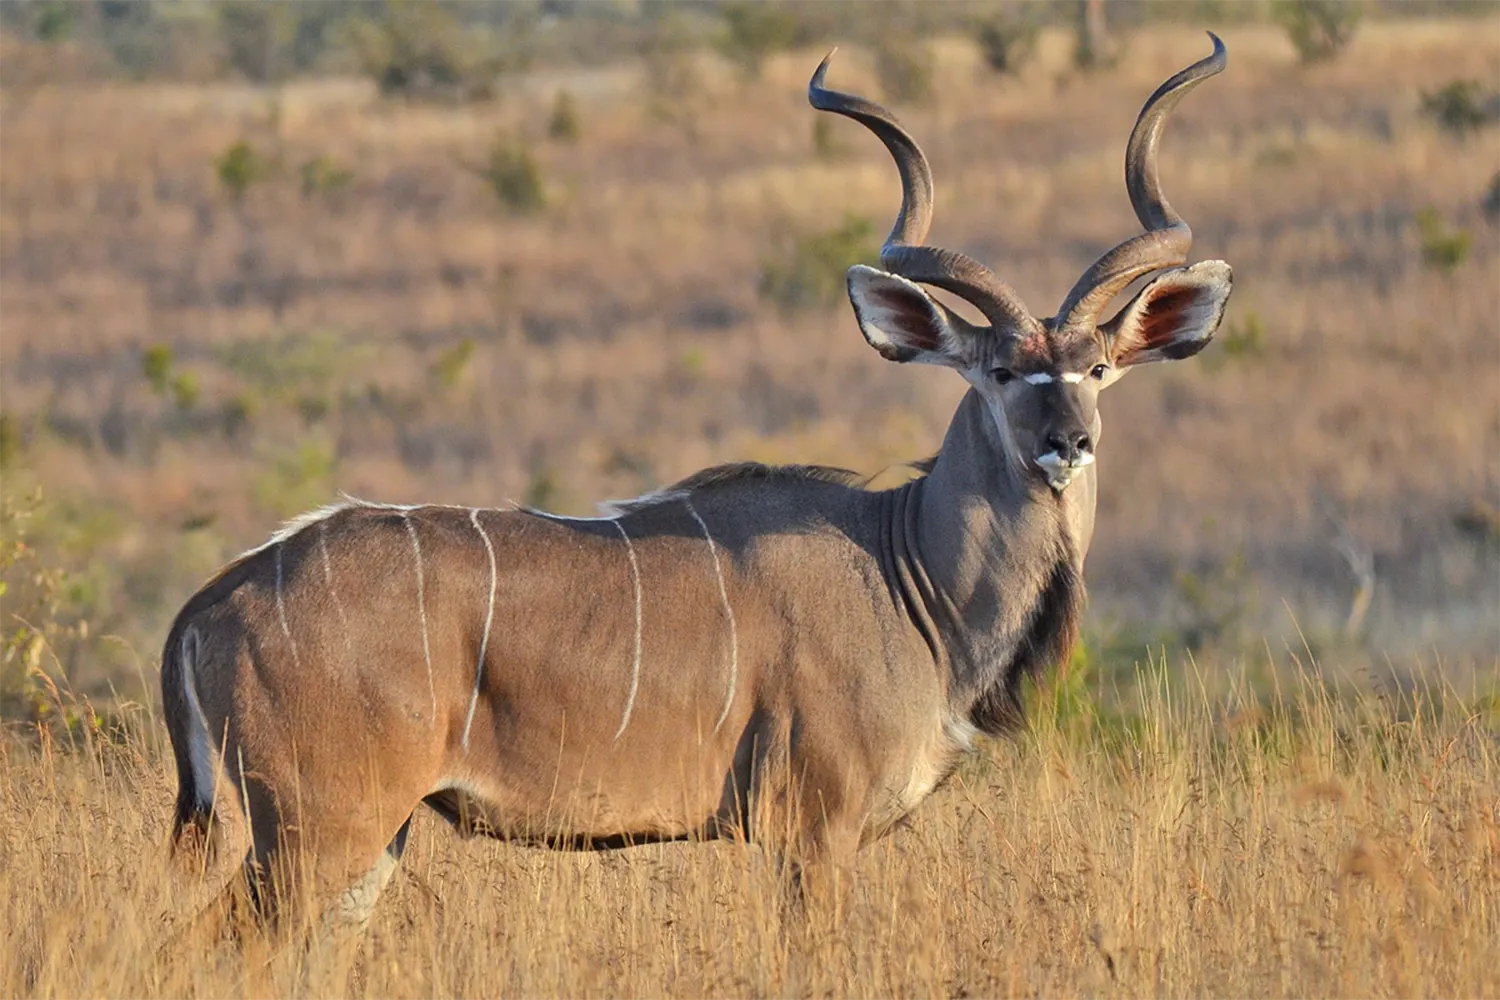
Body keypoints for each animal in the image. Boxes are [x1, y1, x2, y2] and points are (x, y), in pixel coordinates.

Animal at [161, 35, 1230, 935]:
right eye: (1003, 371)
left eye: (1099, 368)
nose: (1067, 443)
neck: (907, 574)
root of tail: (209, 605)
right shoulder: (813, 830)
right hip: (319, 830)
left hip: (369, 840)